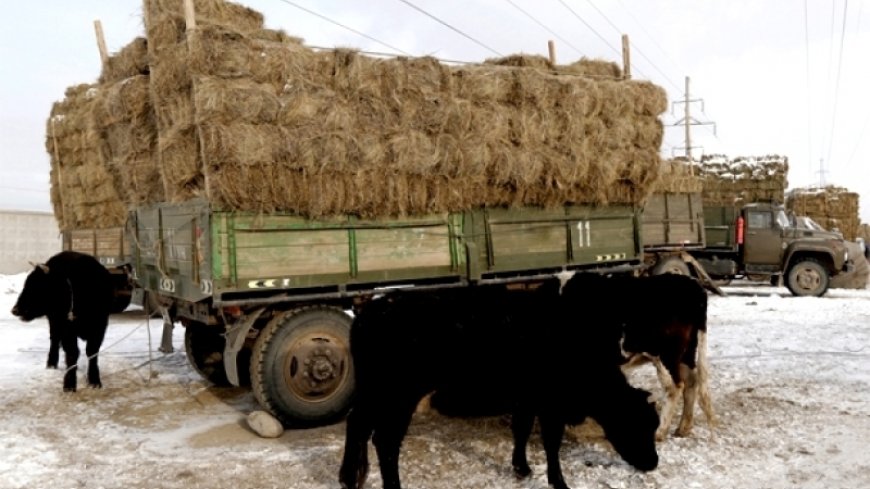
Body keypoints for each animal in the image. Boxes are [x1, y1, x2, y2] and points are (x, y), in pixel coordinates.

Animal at [11, 250, 114, 390]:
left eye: (36, 286)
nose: (15, 310)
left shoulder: (99, 327)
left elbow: (92, 352)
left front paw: (94, 380)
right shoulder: (66, 328)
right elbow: (72, 353)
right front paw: (69, 383)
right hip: (54, 322)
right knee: (54, 341)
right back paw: (51, 363)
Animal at [338, 280, 656, 488]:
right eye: (637, 424)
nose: (653, 463)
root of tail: (375, 308)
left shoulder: (527, 400)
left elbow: (521, 430)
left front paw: (522, 468)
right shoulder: (550, 405)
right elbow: (551, 443)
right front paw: (558, 481)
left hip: (373, 393)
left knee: (357, 425)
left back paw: (350, 478)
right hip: (398, 396)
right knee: (385, 441)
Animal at [564, 272, 716, 440]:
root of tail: (692, 283)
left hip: (665, 355)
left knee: (674, 387)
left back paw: (660, 431)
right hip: (687, 353)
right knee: (691, 382)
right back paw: (683, 428)